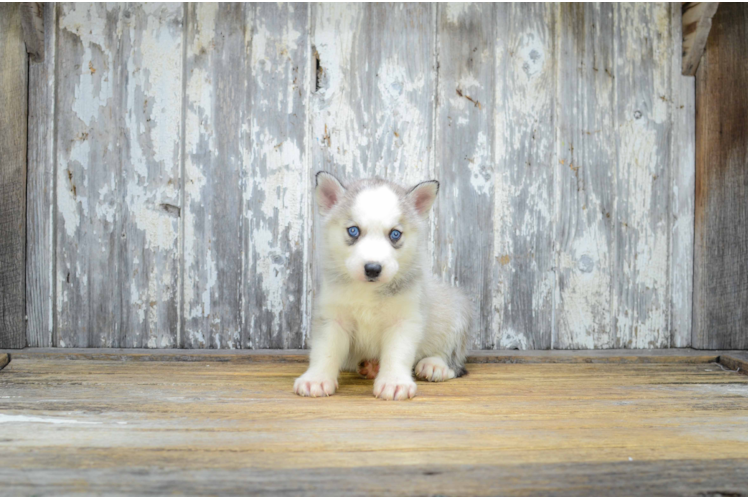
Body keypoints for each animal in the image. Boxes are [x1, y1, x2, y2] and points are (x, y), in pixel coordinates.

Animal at [294, 172, 474, 402]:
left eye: (395, 234)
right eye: (353, 230)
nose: (372, 269)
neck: (368, 292)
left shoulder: (404, 320)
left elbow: (397, 353)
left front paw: (394, 382)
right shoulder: (333, 319)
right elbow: (325, 351)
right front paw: (316, 379)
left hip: (456, 312)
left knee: (454, 358)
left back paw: (435, 365)